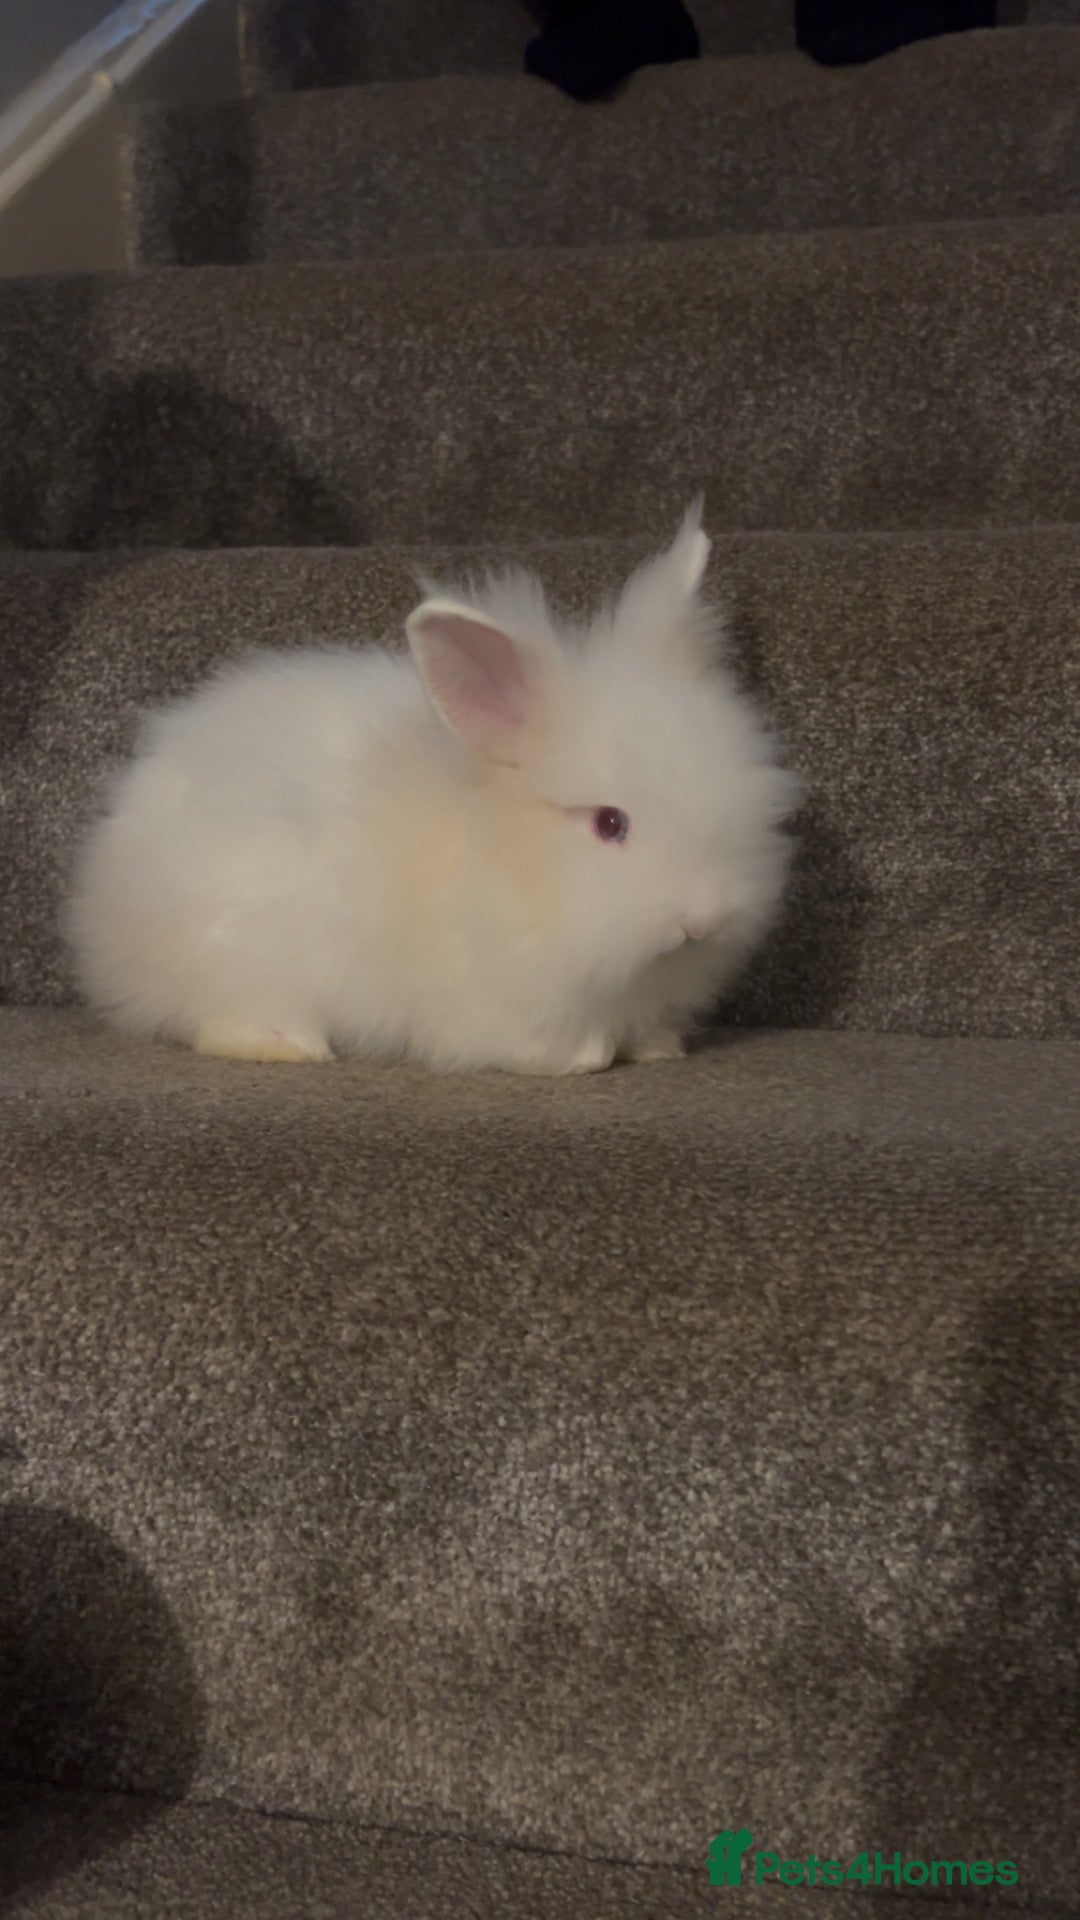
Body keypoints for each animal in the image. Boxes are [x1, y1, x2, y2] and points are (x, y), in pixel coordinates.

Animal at [63, 502, 800, 1076]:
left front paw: (659, 1049)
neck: (508, 861)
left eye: (747, 798)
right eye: (609, 824)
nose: (702, 918)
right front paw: (587, 1058)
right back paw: (289, 1045)